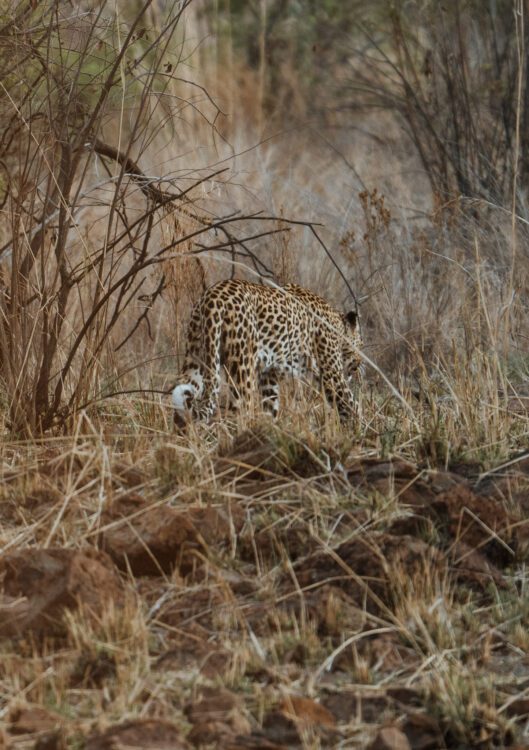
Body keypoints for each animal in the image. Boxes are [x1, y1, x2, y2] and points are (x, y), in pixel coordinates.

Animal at [171, 280, 360, 426]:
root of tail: (212, 297)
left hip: (195, 357)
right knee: (239, 411)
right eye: (362, 343)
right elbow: (351, 404)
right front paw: (358, 432)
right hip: (242, 367)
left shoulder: (269, 375)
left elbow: (270, 407)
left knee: (181, 407)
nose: (359, 364)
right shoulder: (331, 372)